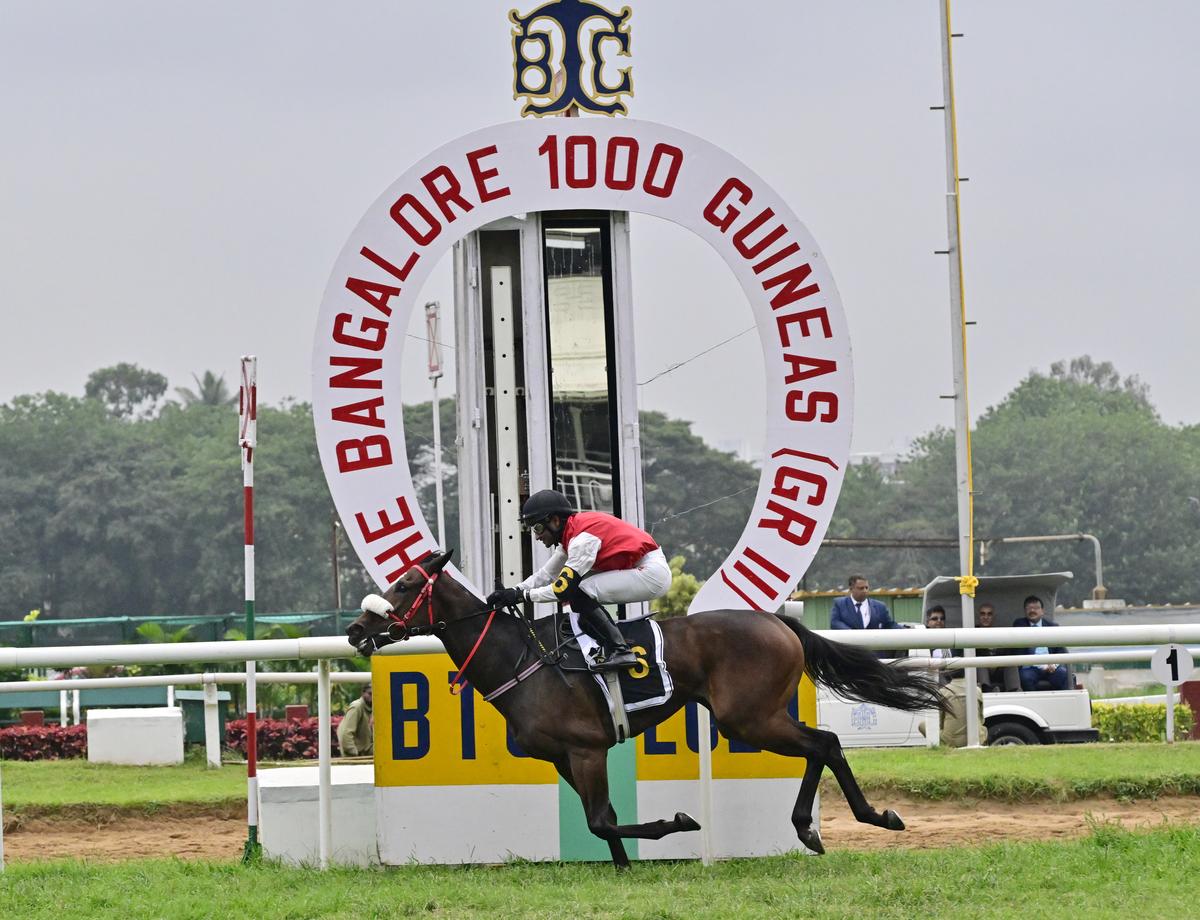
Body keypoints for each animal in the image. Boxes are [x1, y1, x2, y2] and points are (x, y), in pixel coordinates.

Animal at [345, 551, 945, 868]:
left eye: (404, 585)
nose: (355, 630)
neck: (524, 659)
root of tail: (777, 622)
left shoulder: (586, 750)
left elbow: (601, 819)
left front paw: (675, 823)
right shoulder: (566, 757)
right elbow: (604, 821)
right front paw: (623, 866)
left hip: (749, 717)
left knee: (825, 743)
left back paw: (858, 820)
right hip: (757, 716)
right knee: (823, 746)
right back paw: (822, 827)